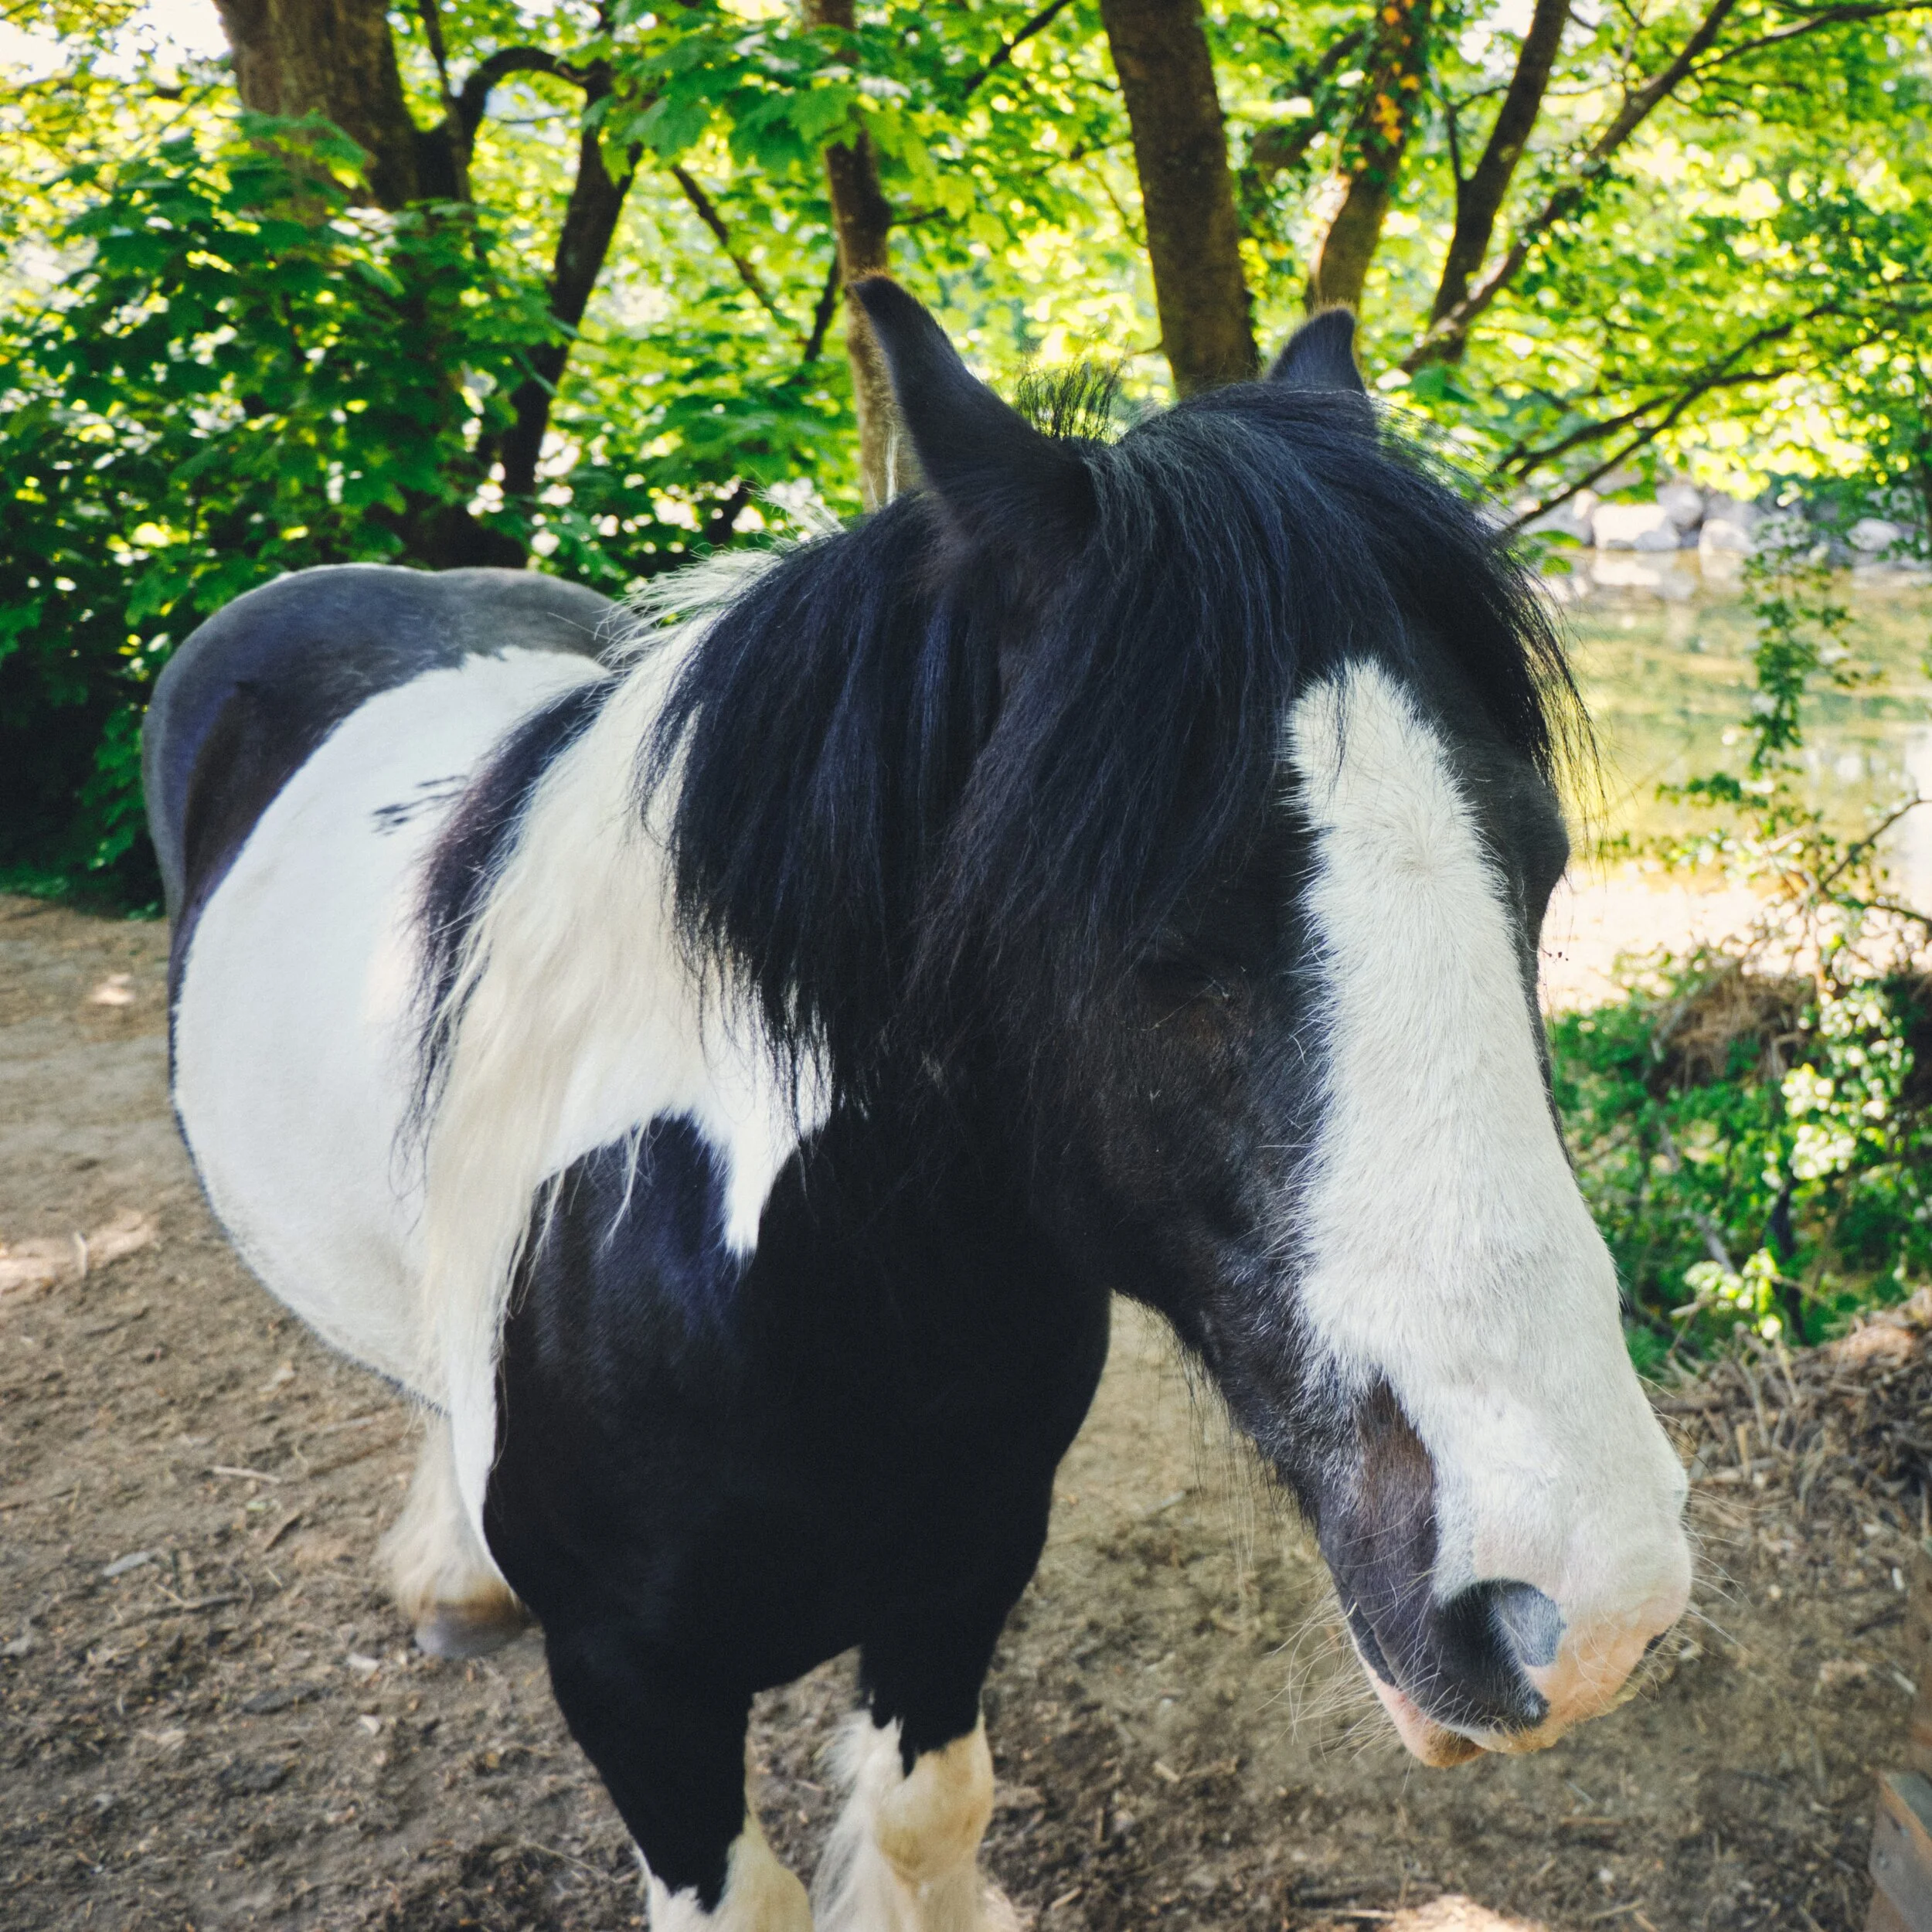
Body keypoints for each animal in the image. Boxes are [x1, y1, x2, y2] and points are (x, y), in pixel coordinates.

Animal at [144, 278, 1691, 1932]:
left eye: (1540, 870)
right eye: (1156, 927)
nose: (1584, 1607)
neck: (783, 1288)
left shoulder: (968, 1565)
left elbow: (928, 1813)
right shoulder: (632, 1688)